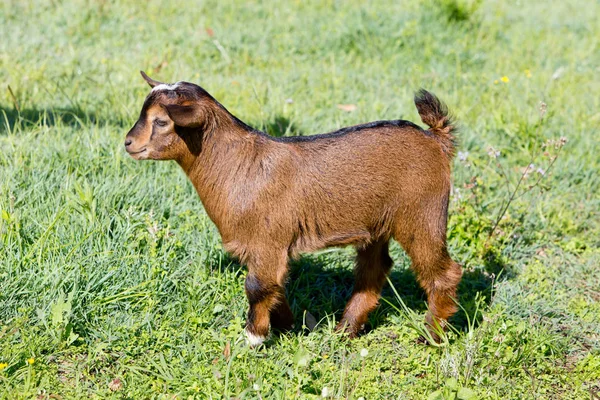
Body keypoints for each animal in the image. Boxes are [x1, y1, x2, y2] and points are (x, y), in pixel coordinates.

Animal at [125, 70, 464, 346]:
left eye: (161, 121)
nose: (128, 143)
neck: (238, 165)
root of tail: (436, 140)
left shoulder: (267, 240)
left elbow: (258, 286)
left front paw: (254, 338)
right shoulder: (267, 248)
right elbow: (275, 286)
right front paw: (290, 329)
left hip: (422, 215)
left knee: (445, 273)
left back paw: (431, 337)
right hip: (376, 224)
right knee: (373, 270)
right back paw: (345, 330)